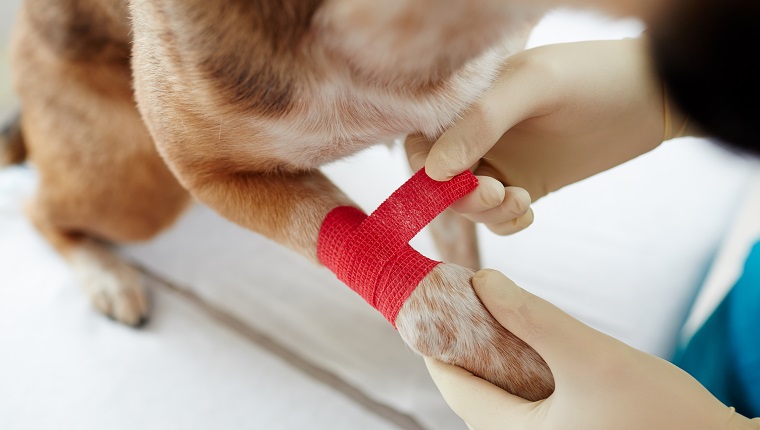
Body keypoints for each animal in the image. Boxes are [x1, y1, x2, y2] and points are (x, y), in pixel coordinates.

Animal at [2, 0, 556, 400]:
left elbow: (459, 230)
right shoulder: (203, 172)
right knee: (36, 208)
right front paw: (528, 365)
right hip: (138, 187)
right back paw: (107, 276)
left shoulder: (457, 125)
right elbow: (434, 299)